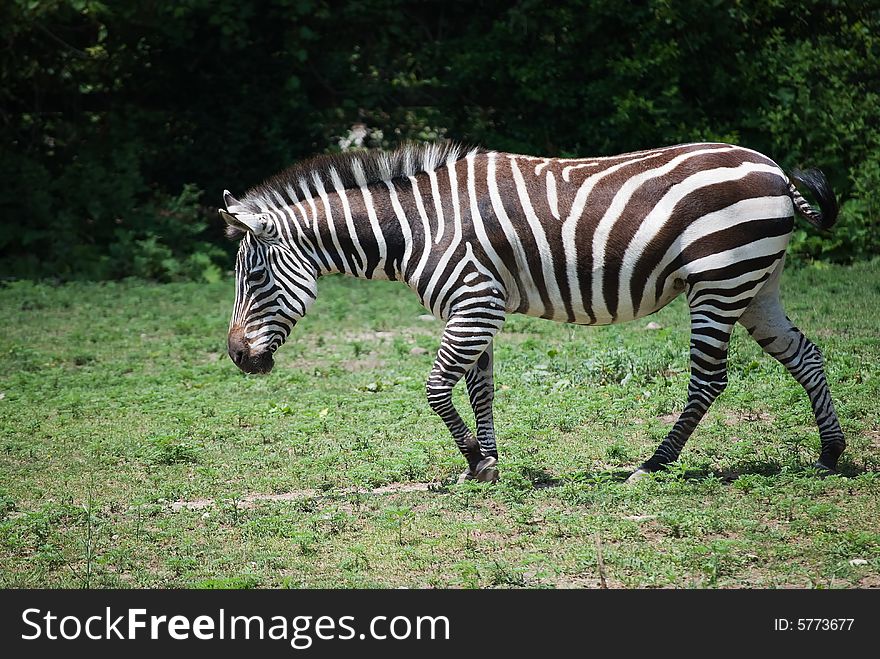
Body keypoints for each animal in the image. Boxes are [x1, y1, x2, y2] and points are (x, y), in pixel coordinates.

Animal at [220, 142, 844, 484]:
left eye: (254, 276)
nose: (237, 358)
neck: (416, 227)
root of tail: (773, 168)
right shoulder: (476, 306)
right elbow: (479, 389)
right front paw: (486, 465)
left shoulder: (475, 301)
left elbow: (435, 388)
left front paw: (475, 460)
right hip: (756, 282)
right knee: (806, 355)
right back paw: (831, 453)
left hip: (719, 280)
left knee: (708, 380)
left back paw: (651, 465)